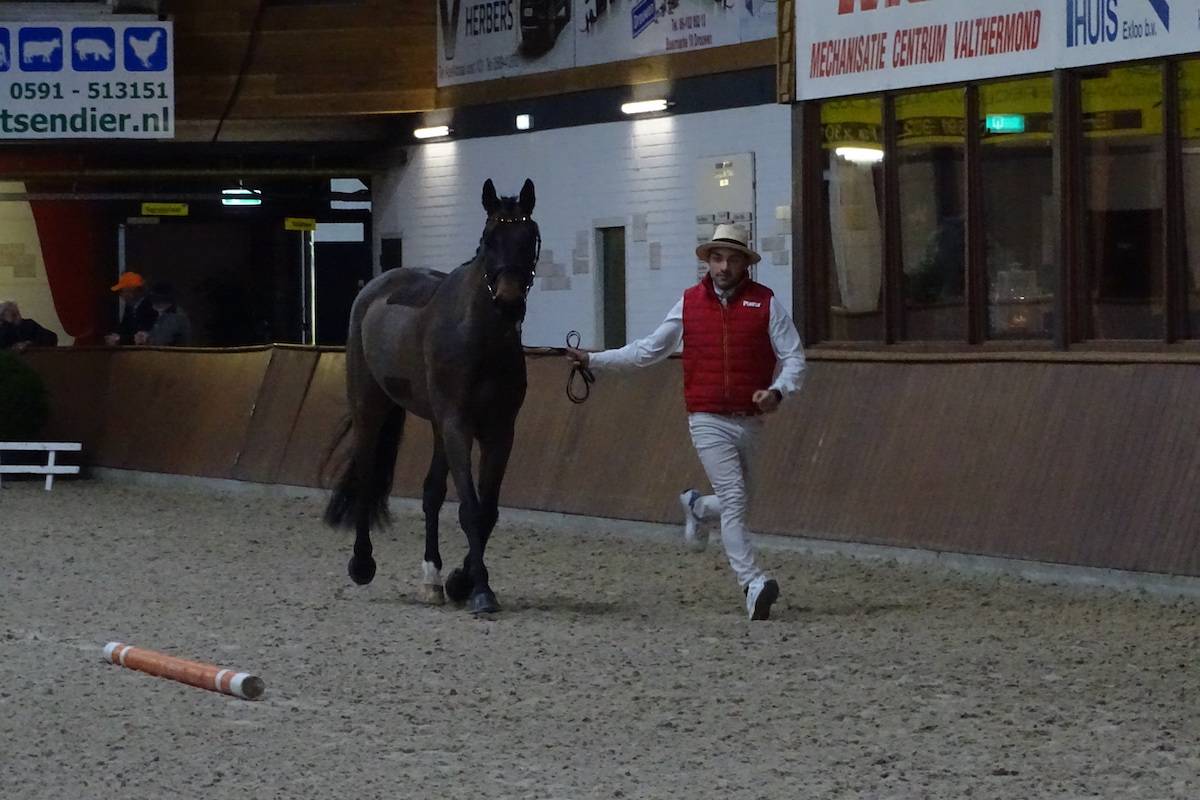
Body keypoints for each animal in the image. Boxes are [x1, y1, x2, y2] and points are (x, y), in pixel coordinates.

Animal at [324, 178, 540, 615]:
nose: (509, 302)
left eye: (530, 237)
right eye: (489, 239)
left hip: (439, 426)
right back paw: (362, 563)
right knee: (368, 475)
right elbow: (471, 508)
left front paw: (461, 579)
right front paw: (481, 591)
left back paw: (433, 579)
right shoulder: (458, 424)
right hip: (372, 407)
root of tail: (375, 288)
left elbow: (487, 510)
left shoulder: (499, 431)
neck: (481, 338)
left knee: (431, 492)